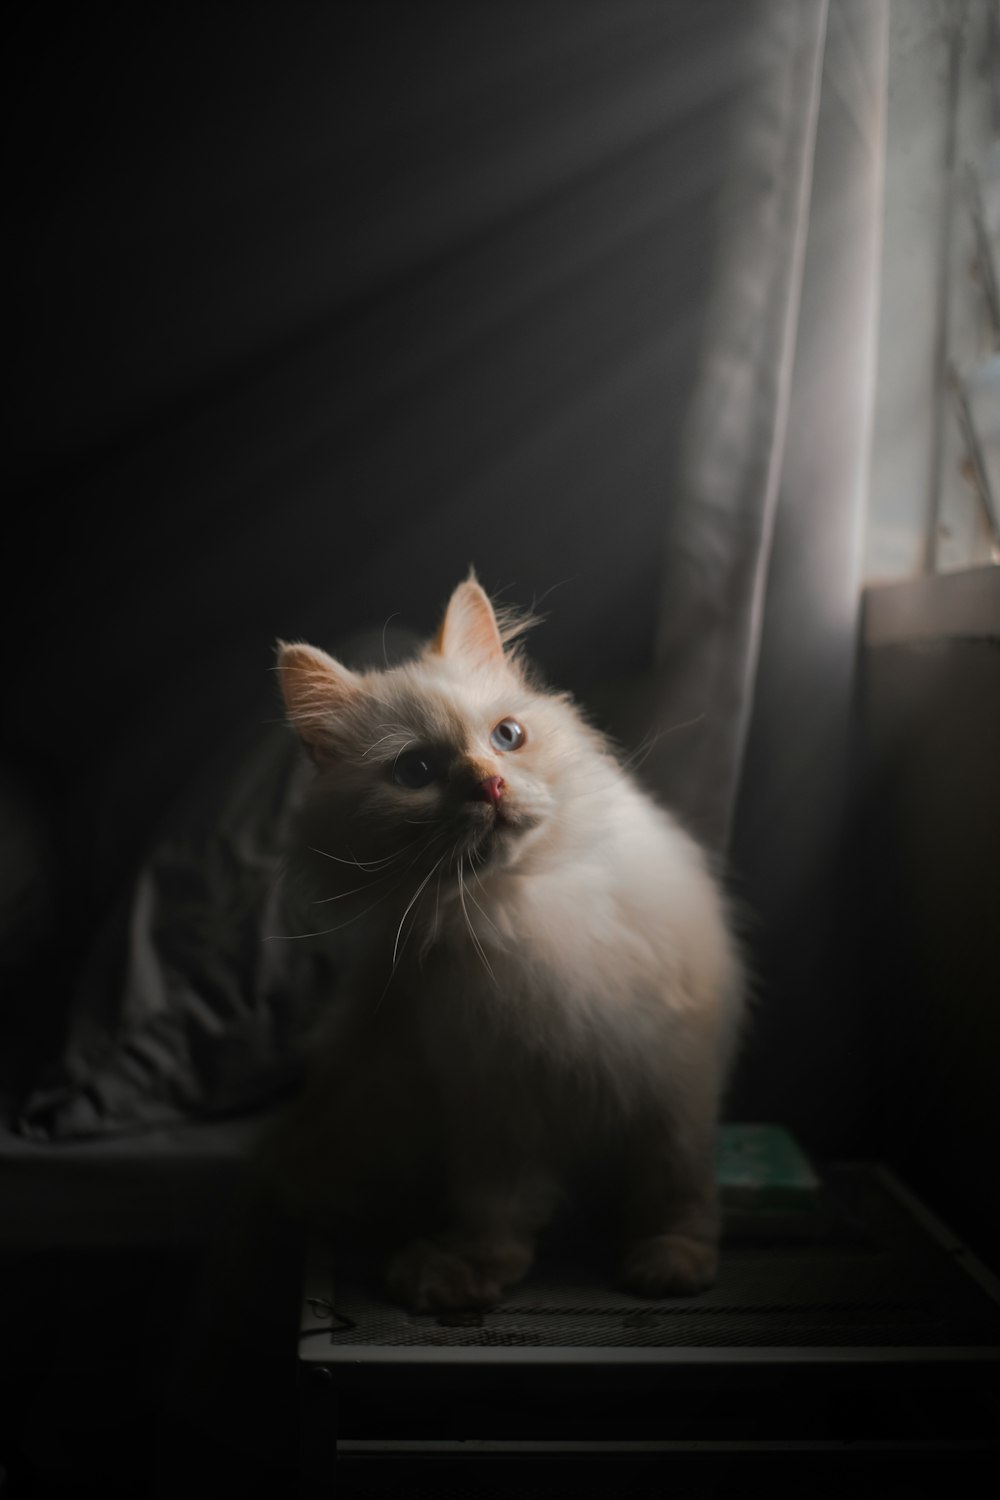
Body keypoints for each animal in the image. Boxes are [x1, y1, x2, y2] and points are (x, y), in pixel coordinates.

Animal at [262, 576, 746, 1314]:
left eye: (507, 736)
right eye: (417, 770)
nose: (488, 785)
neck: (520, 908)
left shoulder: (671, 1075)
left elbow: (676, 1189)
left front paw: (672, 1264)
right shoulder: (497, 1099)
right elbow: (496, 1213)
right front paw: (466, 1272)